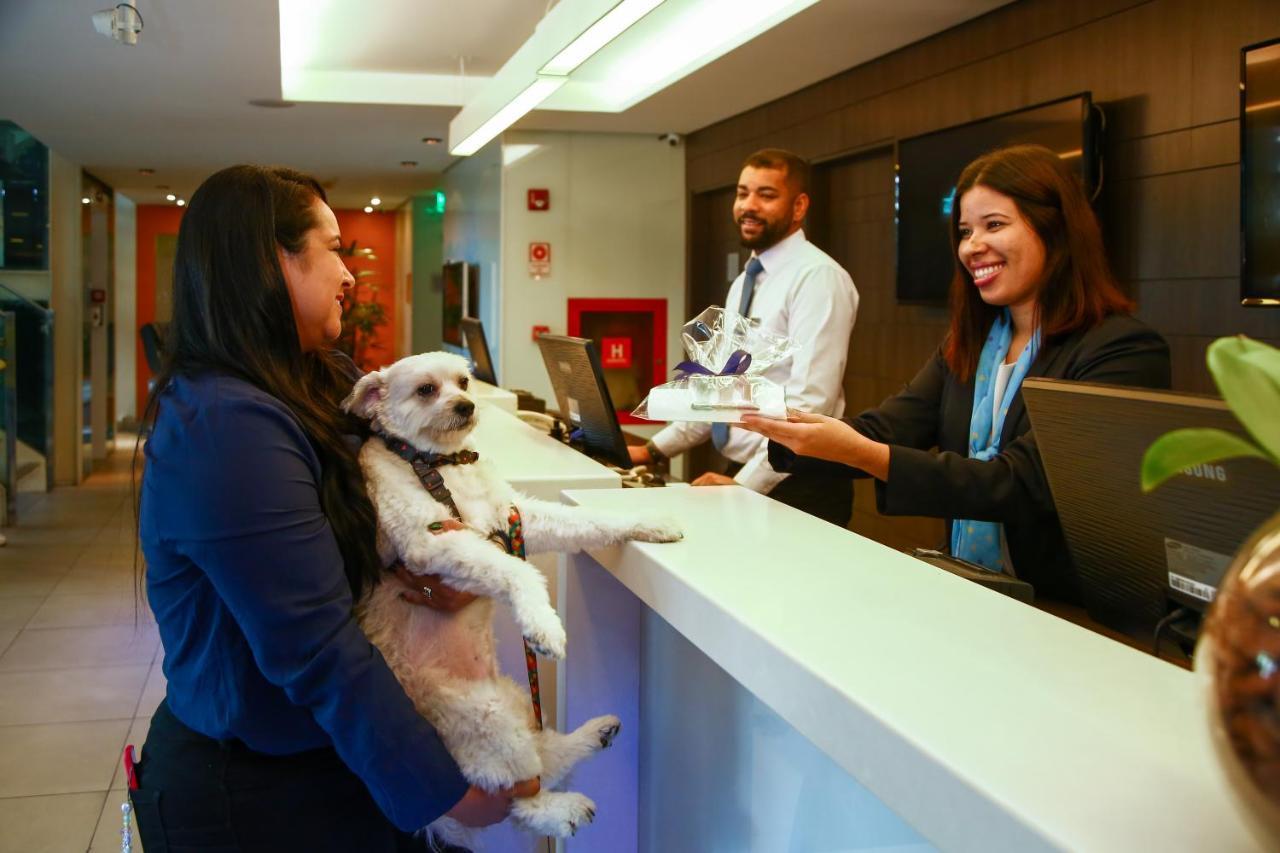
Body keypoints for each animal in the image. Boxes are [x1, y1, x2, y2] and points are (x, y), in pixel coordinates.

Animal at [340, 348, 680, 840]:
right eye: (426, 389)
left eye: (463, 382)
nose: (466, 406)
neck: (442, 464)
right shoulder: (431, 540)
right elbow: (518, 570)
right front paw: (543, 626)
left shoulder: (515, 517)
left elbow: (587, 521)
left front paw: (648, 523)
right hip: (486, 721)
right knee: (517, 797)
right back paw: (561, 809)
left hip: (515, 698)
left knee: (545, 757)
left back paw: (594, 734)